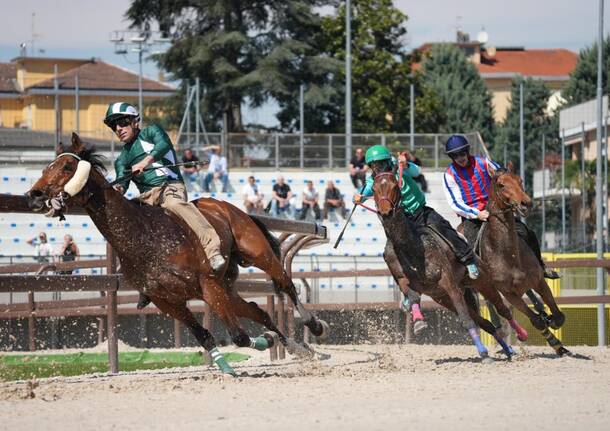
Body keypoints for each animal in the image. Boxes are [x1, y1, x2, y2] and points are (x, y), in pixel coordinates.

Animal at [25, 133, 328, 376]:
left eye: (67, 166)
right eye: (47, 166)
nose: (34, 194)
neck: (146, 236)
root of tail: (229, 207)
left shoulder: (207, 285)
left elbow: (239, 336)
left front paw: (264, 343)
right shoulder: (168, 301)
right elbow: (205, 335)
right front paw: (228, 367)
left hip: (256, 256)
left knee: (286, 284)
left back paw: (313, 325)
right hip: (227, 289)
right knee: (259, 311)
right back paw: (300, 349)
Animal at [368, 172, 516, 362]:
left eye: (395, 186)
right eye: (373, 189)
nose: (386, 212)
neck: (413, 246)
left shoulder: (448, 282)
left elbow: (466, 319)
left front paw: (483, 352)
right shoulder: (404, 280)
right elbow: (413, 296)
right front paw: (419, 323)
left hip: (483, 282)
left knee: (501, 308)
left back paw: (520, 337)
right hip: (444, 298)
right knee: (485, 323)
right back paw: (507, 350)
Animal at [478, 164, 568, 356]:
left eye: (520, 180)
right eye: (501, 184)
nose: (526, 203)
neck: (508, 254)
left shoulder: (539, 281)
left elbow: (558, 316)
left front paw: (551, 321)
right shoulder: (509, 294)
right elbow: (536, 321)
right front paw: (552, 338)